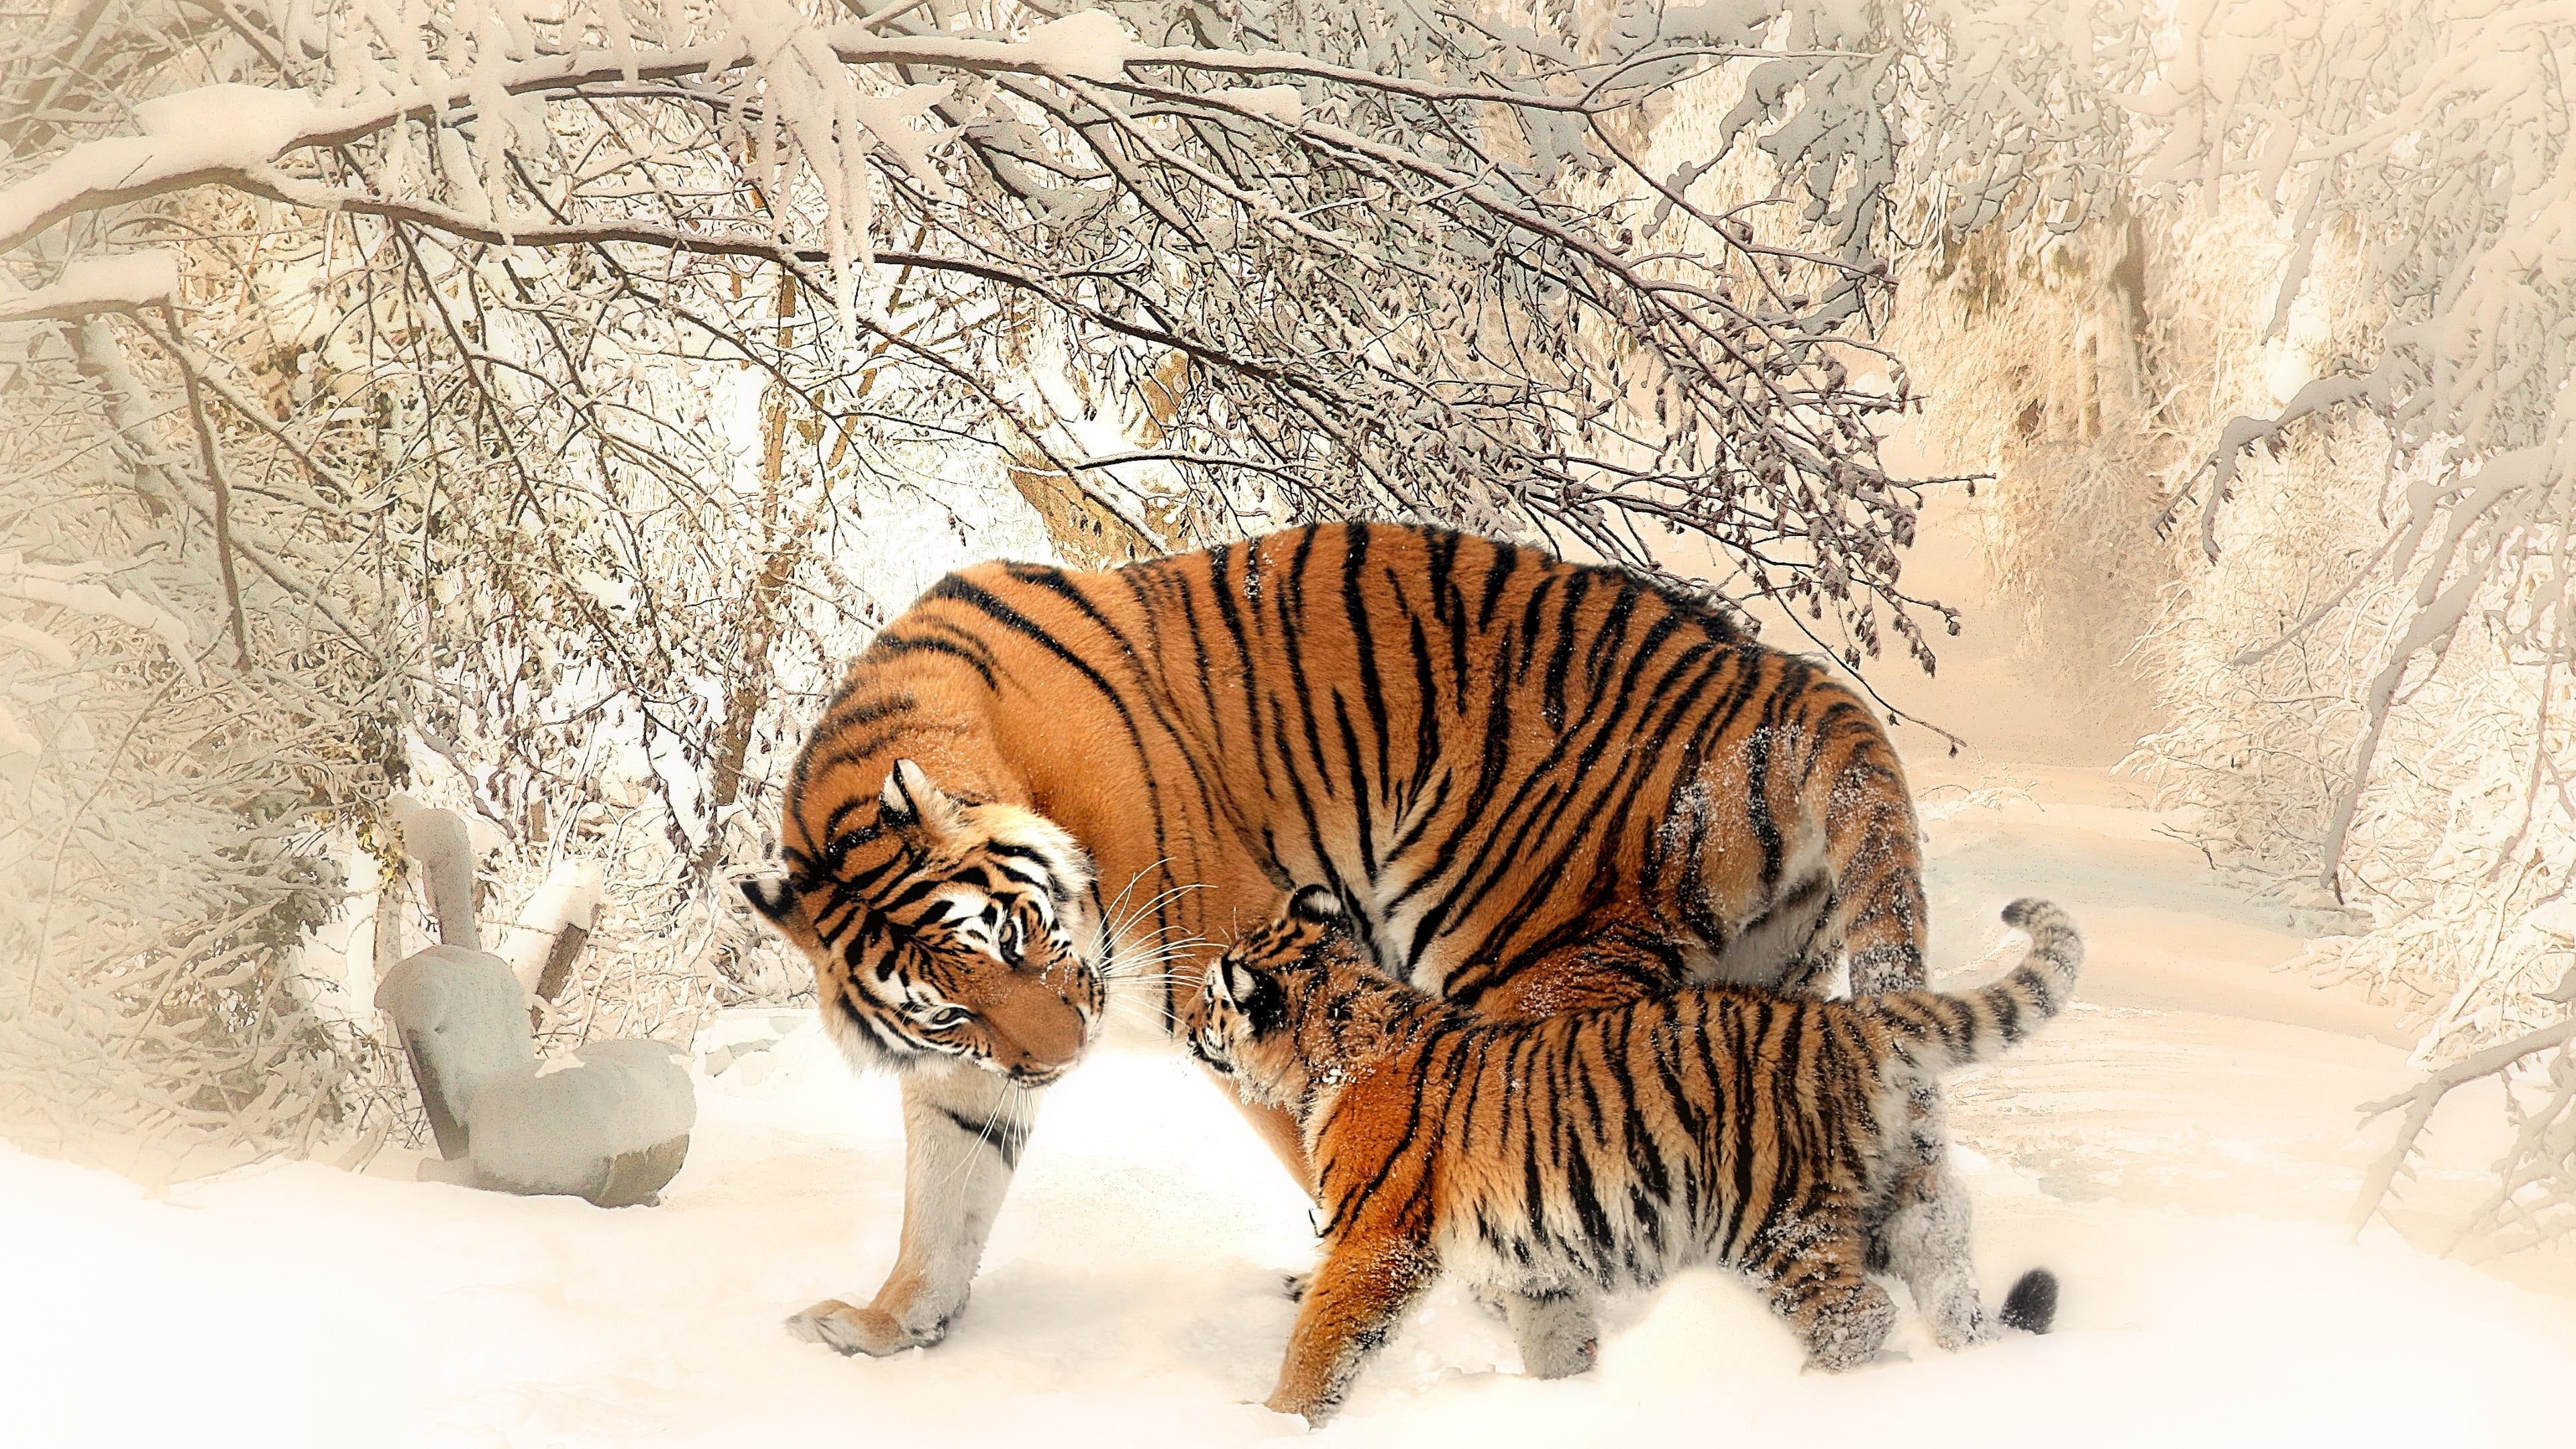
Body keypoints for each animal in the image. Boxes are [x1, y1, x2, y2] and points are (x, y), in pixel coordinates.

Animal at [741, 520, 1951, 1363]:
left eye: (1024, 938)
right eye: (949, 1007)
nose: (1061, 1060)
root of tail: (1783, 677)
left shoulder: (1233, 967)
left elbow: (1332, 1147)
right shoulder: (967, 1071)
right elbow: (944, 1199)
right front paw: (890, 1326)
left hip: (1523, 961)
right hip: (1765, 990)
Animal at [1189, 886, 2081, 1426]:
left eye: (1209, 998)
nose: (1189, 1027)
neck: (1338, 1039)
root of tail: (1846, 1020)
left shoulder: (1374, 1241)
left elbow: (1321, 1342)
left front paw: (1275, 1419)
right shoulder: (1532, 1261)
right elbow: (1555, 1338)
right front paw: (1568, 1404)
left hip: (1775, 1220)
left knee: (1856, 1314)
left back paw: (1807, 1399)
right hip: (1899, 1198)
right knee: (1945, 1275)